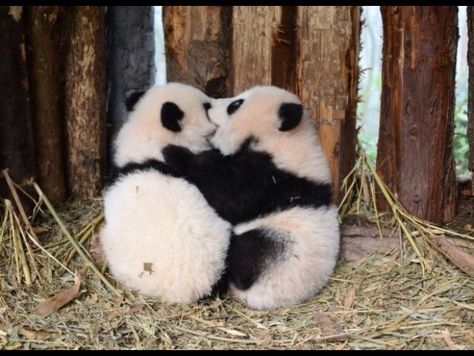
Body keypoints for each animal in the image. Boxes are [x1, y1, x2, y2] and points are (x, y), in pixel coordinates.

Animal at [163, 85, 340, 308]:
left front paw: (174, 152)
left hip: (280, 249)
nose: (209, 105)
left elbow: (228, 195)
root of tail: (267, 300)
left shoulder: (268, 176)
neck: (288, 140)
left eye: (235, 105)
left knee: (249, 255)